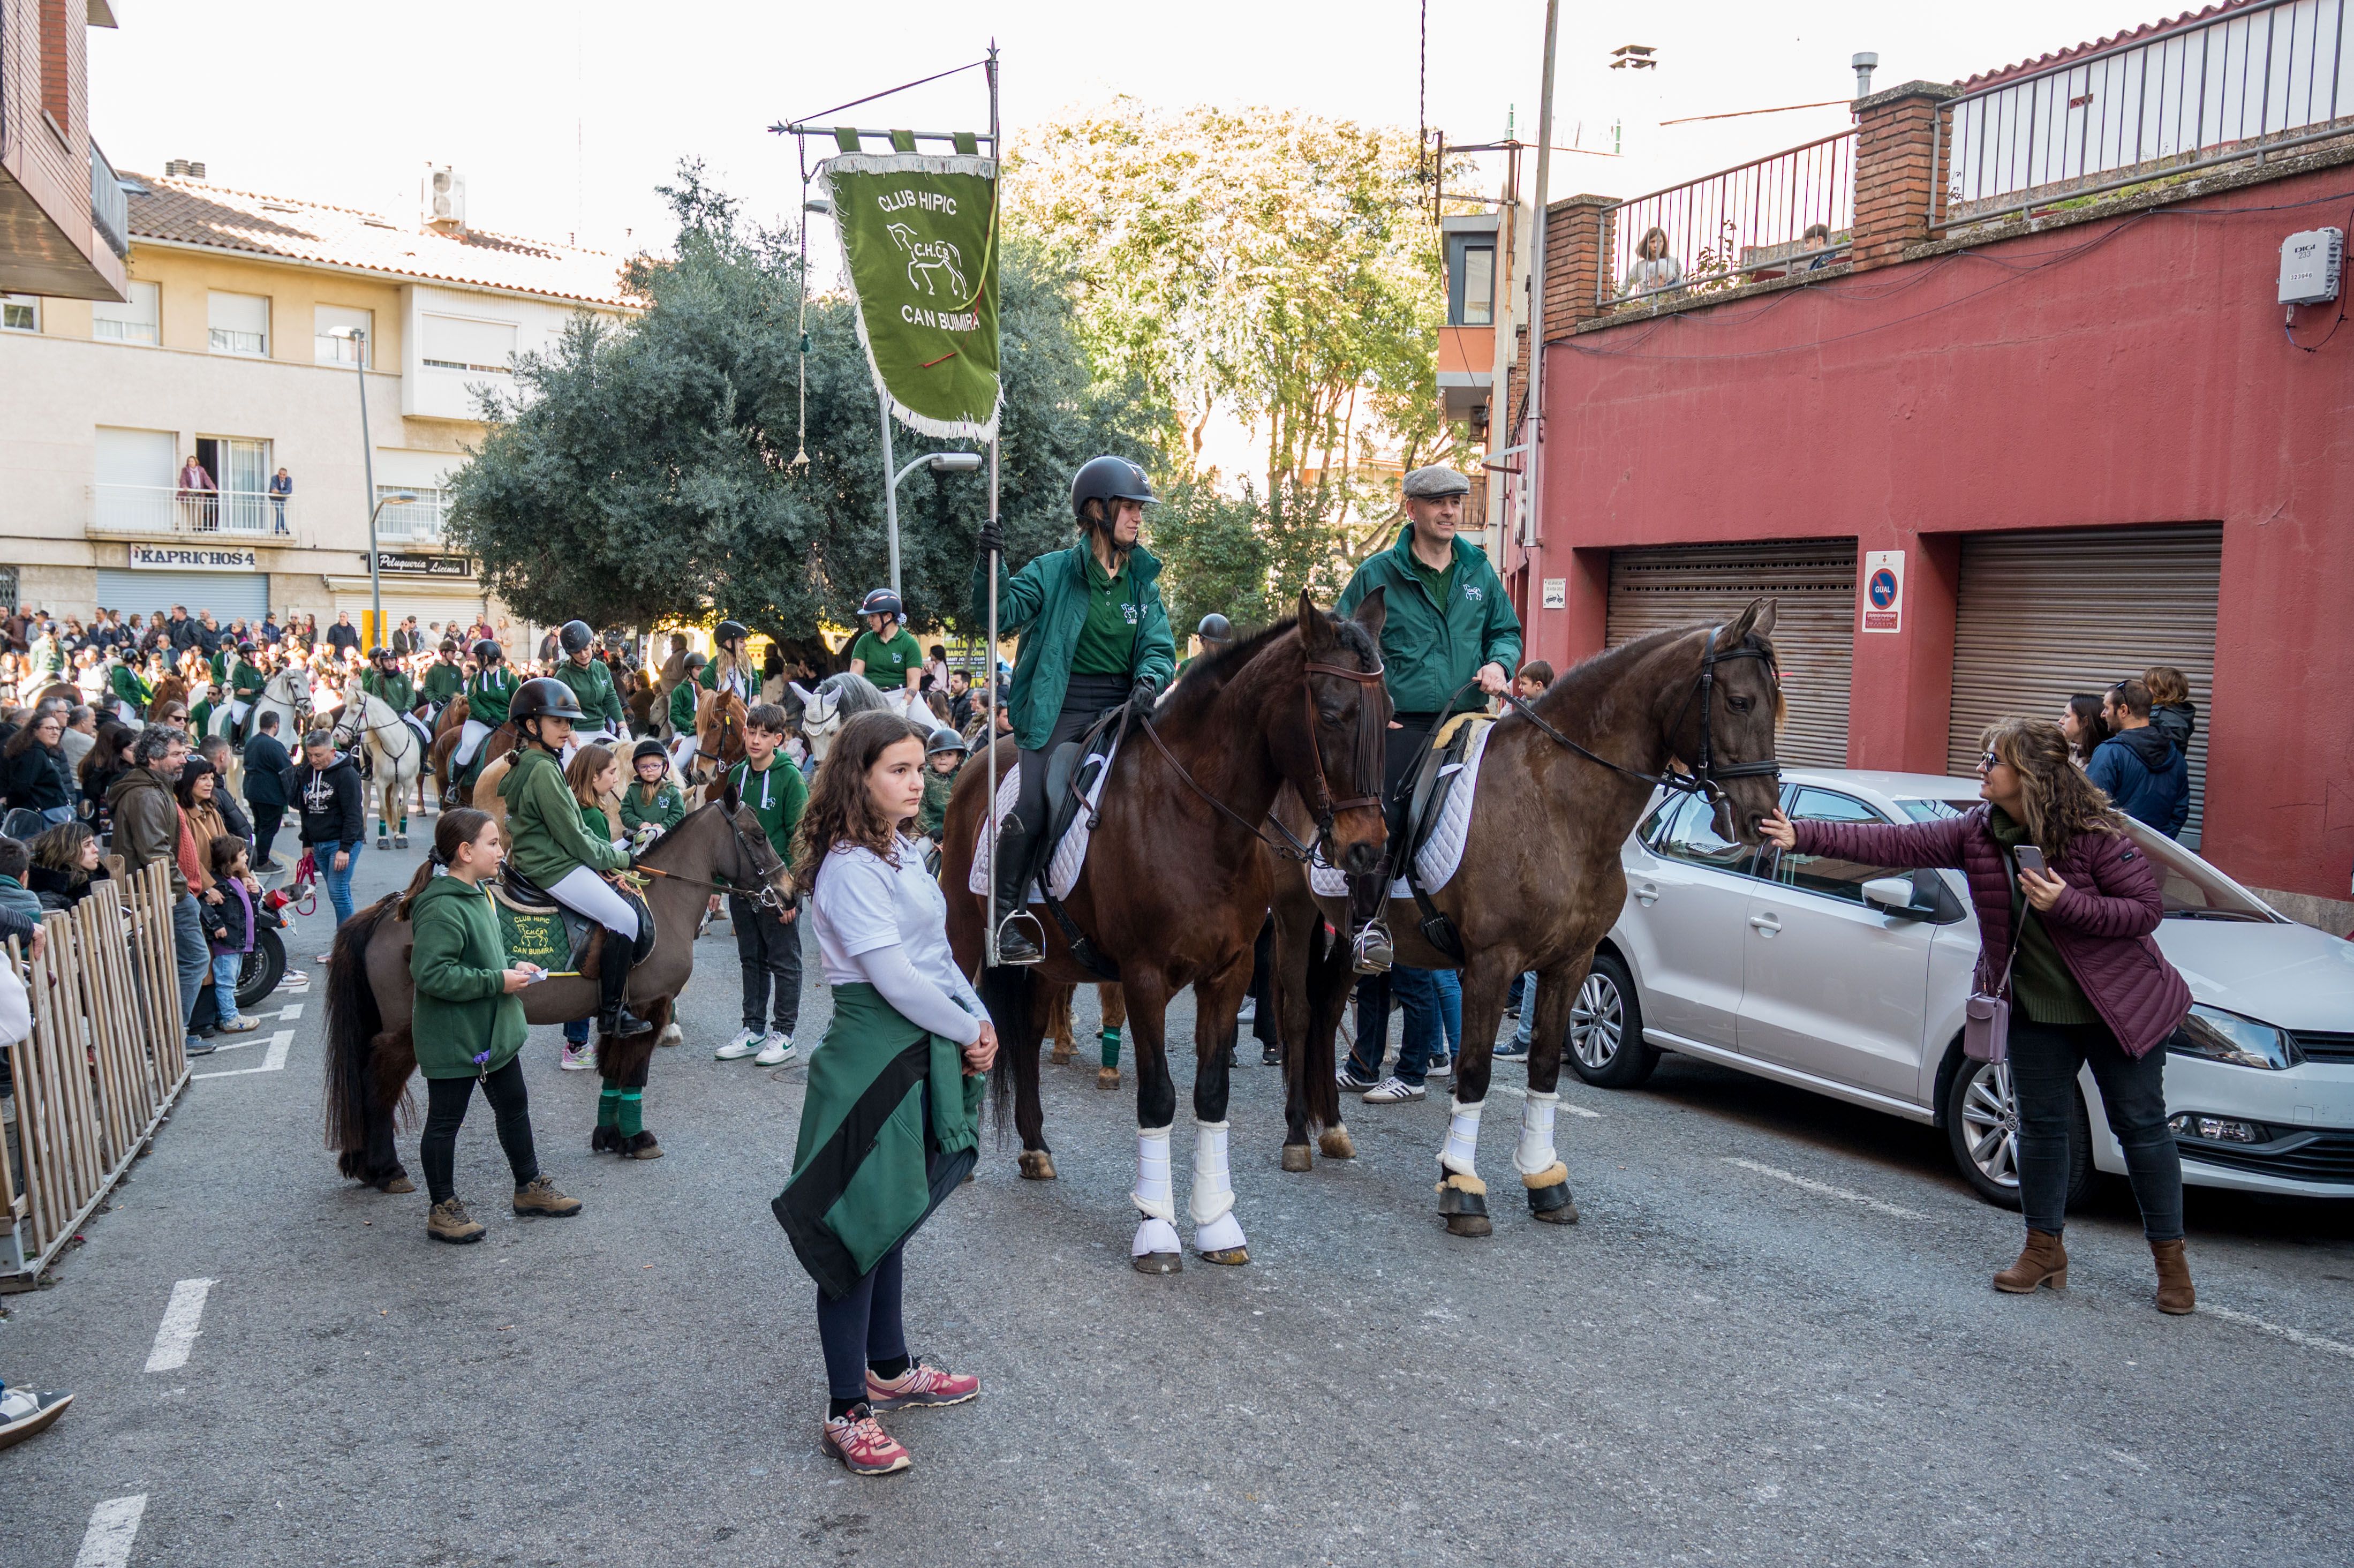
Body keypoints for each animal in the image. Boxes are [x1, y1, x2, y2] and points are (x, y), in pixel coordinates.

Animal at [322, 795, 791, 1186]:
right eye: (758, 836)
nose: (788, 894)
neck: (663, 901)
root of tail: (390, 909)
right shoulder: (649, 1007)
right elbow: (634, 1073)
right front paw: (637, 1139)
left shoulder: (619, 1013)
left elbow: (614, 1072)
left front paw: (611, 1136)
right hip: (403, 1033)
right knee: (376, 1087)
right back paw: (384, 1168)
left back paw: (364, 1163)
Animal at [331, 682, 424, 847]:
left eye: (354, 712)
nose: (336, 734)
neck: (396, 746)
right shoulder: (380, 783)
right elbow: (382, 809)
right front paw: (382, 839)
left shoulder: (409, 782)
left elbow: (404, 809)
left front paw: (402, 836)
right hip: (367, 779)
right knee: (367, 802)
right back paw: (364, 835)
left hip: (397, 781)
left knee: (393, 800)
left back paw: (396, 832)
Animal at [937, 586, 1384, 1271]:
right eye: (1333, 713)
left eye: (1389, 715)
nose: (1369, 851)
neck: (1194, 816)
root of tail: (979, 758)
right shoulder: (1145, 978)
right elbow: (1159, 1097)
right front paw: (1156, 1229)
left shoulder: (1230, 974)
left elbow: (1209, 1094)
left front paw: (1217, 1226)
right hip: (965, 936)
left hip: (1048, 961)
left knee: (1029, 1037)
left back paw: (1035, 1146)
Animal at [1290, 595, 1779, 1233]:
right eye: (1739, 701)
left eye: (1777, 702)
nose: (1763, 820)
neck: (1555, 807)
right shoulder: (1492, 963)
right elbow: (1474, 1070)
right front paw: (1461, 1186)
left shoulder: (1571, 962)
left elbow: (1545, 1065)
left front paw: (1544, 1178)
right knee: (1295, 1010)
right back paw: (1296, 1136)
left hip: (1350, 938)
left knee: (1326, 1007)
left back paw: (1330, 1130)